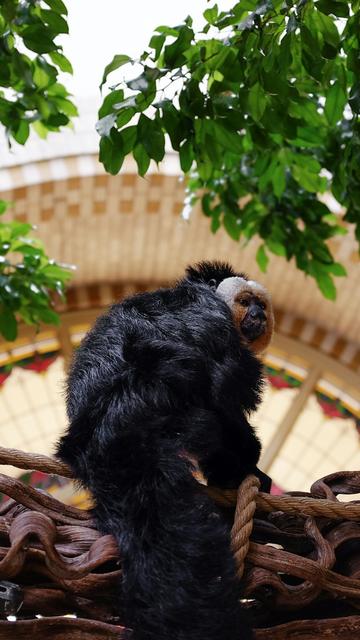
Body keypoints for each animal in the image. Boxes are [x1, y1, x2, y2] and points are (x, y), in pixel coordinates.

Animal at [57, 260, 274, 640]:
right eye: (247, 302)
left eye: (261, 304)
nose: (259, 314)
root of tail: (111, 424)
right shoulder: (207, 312)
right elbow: (226, 388)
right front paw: (249, 458)